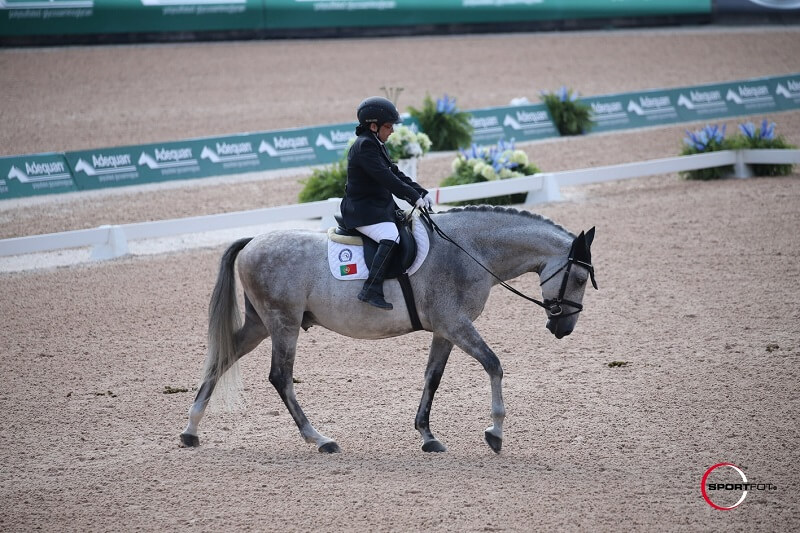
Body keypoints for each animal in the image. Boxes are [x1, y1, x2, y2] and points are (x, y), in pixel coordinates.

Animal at [180, 206, 592, 456]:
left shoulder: (445, 330)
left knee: (221, 359)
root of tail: (252, 241)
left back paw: (191, 431)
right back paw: (320, 439)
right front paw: (495, 433)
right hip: (283, 324)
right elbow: (494, 365)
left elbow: (432, 378)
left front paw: (427, 436)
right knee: (281, 377)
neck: (469, 249)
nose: (563, 328)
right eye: (581, 278)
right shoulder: (455, 324)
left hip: (260, 325)